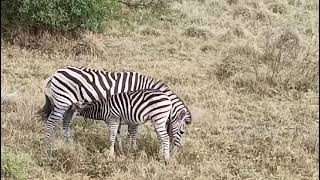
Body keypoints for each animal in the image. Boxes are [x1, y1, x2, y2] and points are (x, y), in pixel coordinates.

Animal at [38, 65, 191, 148]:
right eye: (182, 131)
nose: (177, 148)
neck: (145, 87)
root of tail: (55, 73)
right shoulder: (133, 107)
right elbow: (133, 131)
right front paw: (132, 149)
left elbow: (120, 131)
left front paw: (121, 148)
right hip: (62, 101)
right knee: (51, 123)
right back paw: (48, 145)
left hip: (70, 105)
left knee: (65, 122)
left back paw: (68, 142)